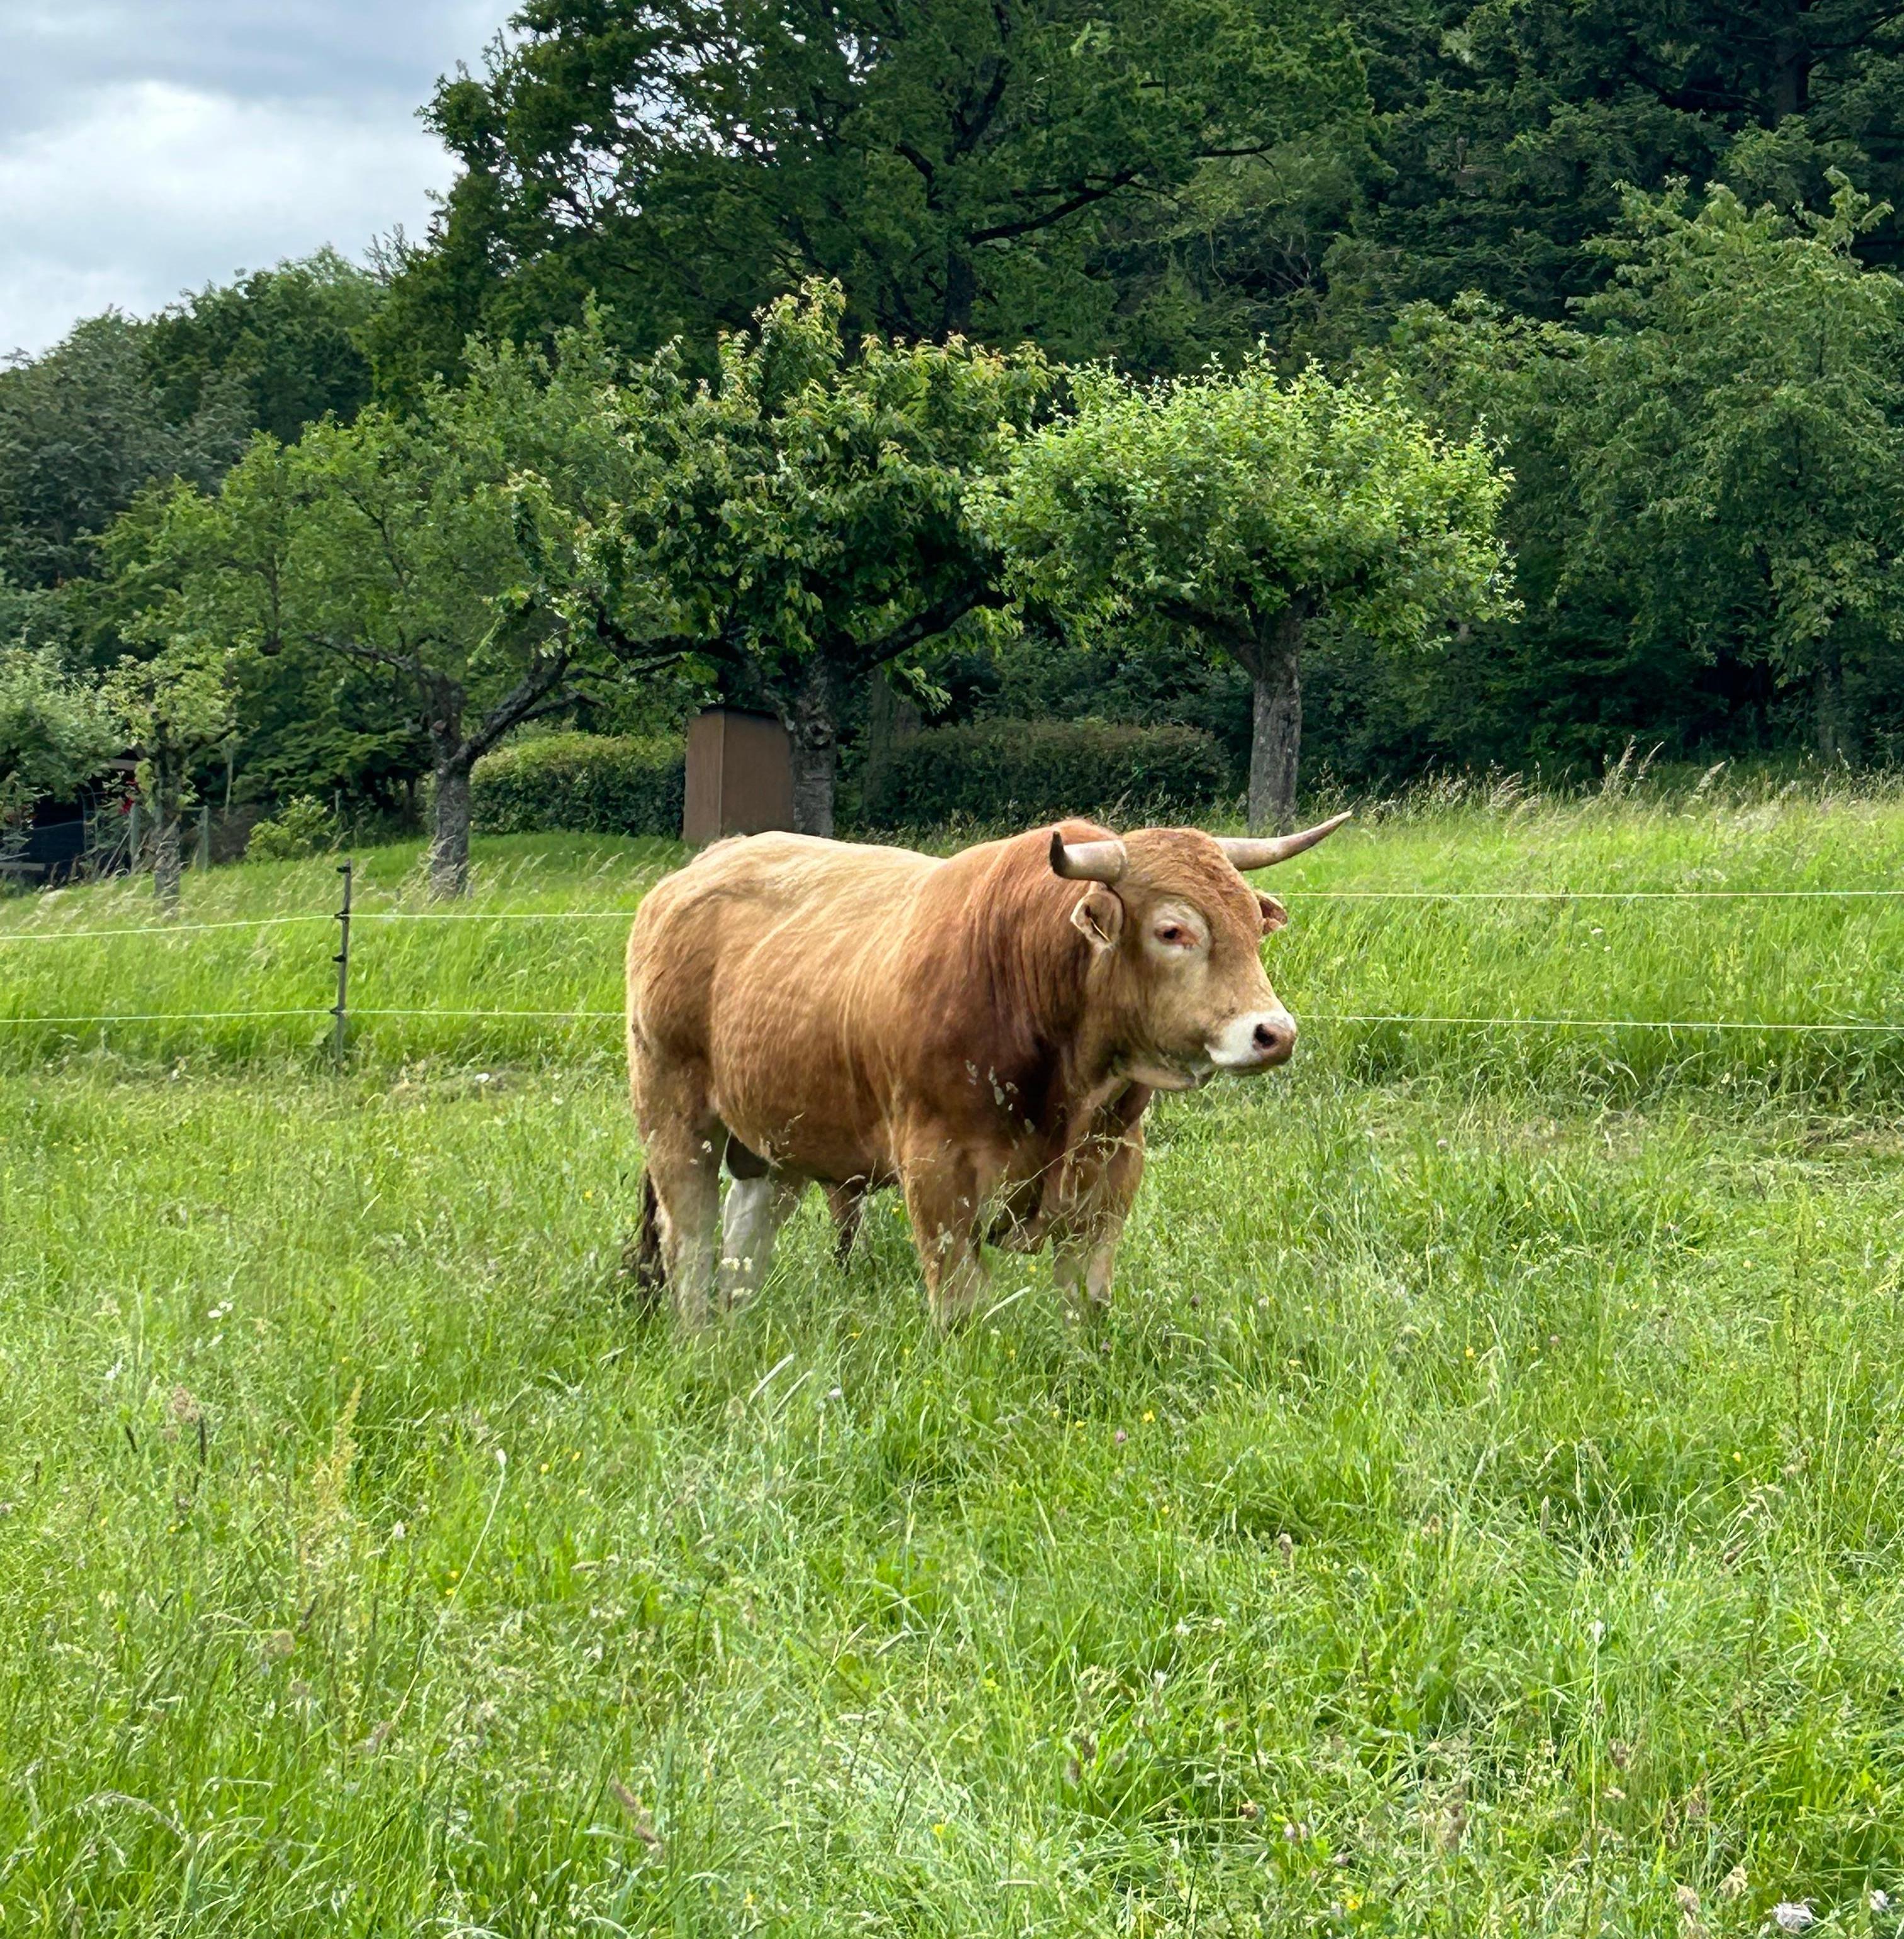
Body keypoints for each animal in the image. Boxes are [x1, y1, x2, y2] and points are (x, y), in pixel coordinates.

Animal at [620, 810, 1341, 1326]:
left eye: (1253, 924)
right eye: (1172, 931)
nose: (1274, 1033)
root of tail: (704, 865)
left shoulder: (1111, 1174)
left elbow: (1087, 1302)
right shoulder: (938, 1175)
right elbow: (960, 1303)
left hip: (777, 1142)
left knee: (746, 1237)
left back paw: (735, 1327)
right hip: (675, 1118)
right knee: (690, 1239)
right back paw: (697, 1337)